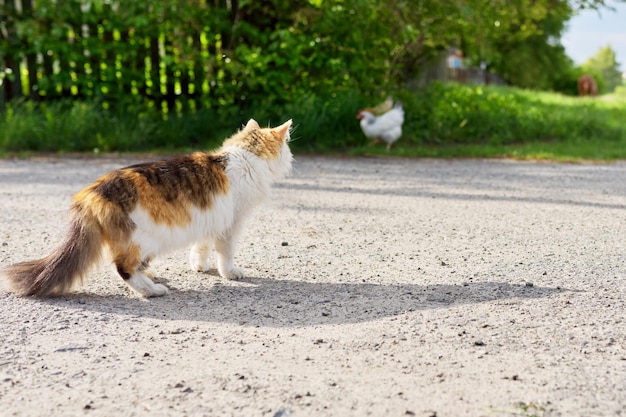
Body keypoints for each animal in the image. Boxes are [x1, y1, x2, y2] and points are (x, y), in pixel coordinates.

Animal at [0, 118, 292, 298]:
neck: (245, 157)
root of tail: (90, 193)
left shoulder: (210, 218)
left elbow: (201, 247)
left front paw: (199, 266)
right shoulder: (232, 223)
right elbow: (226, 253)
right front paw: (230, 273)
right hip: (144, 238)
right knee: (123, 268)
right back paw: (152, 290)